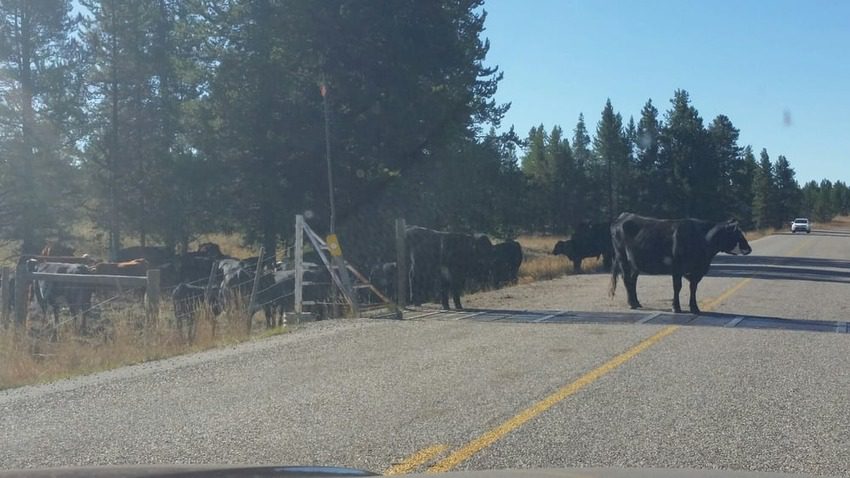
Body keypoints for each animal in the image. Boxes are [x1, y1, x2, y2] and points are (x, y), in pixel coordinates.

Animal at [608, 213, 752, 314]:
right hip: (622, 258)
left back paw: (637, 302)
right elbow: (677, 287)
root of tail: (623, 216)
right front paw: (676, 308)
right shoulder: (677, 267)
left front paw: (695, 308)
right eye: (737, 234)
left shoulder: (697, 271)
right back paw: (631, 304)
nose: (749, 249)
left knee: (633, 280)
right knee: (627, 279)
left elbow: (693, 288)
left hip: (636, 263)